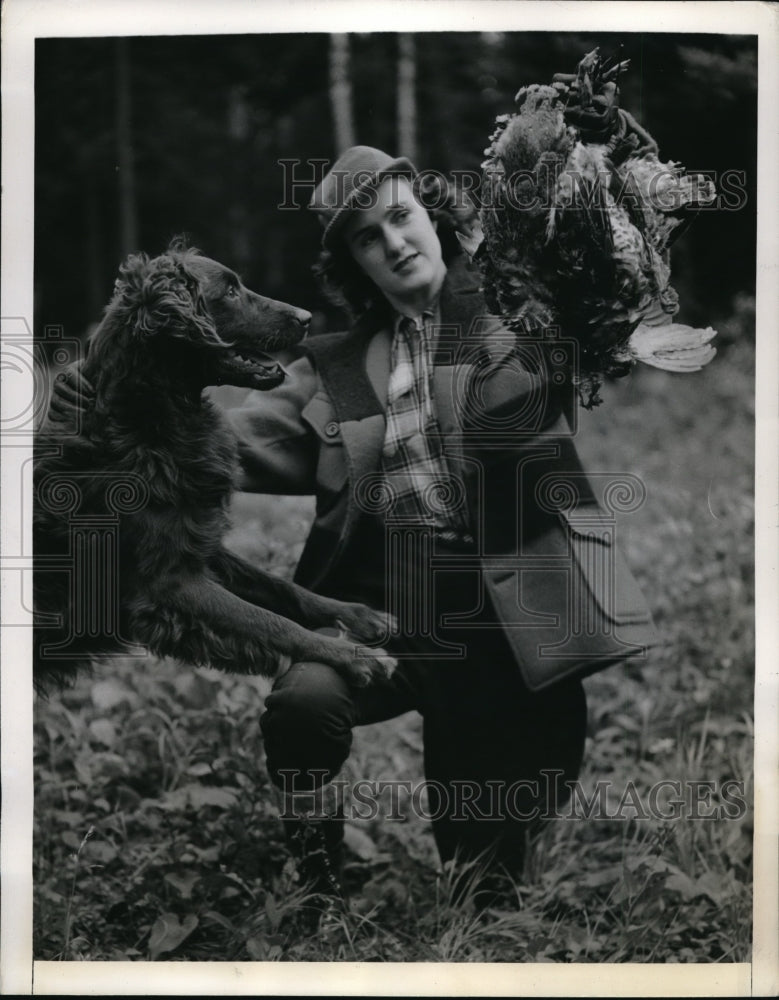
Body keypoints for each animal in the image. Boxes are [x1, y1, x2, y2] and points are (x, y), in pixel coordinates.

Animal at [34, 243, 396, 696]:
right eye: (230, 291)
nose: (307, 317)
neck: (145, 420)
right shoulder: (171, 584)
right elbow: (272, 623)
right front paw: (354, 656)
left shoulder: (199, 541)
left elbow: (282, 587)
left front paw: (357, 614)